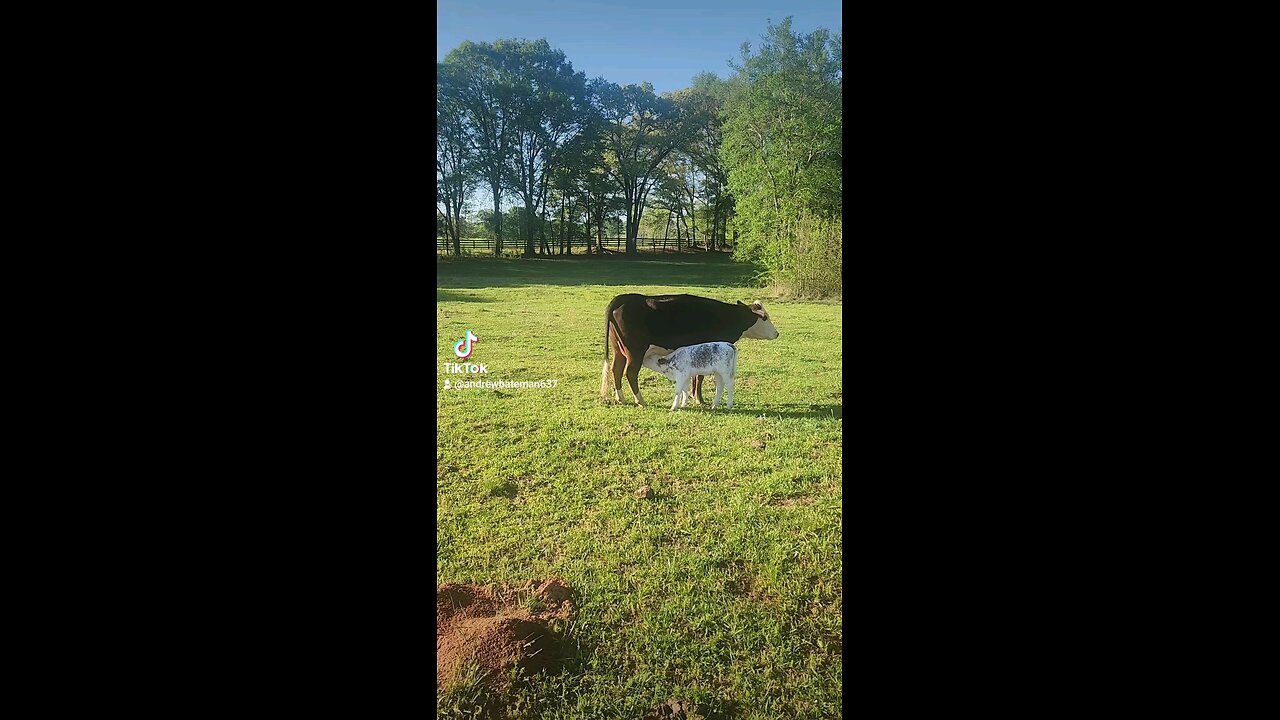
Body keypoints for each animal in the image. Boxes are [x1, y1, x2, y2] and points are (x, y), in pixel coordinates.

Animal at [599, 292, 778, 404]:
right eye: (764, 317)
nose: (777, 333)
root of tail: (624, 298)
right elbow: (700, 376)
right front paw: (699, 399)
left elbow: (695, 376)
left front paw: (693, 396)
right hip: (635, 351)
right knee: (630, 372)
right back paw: (640, 400)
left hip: (619, 350)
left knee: (616, 370)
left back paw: (621, 398)